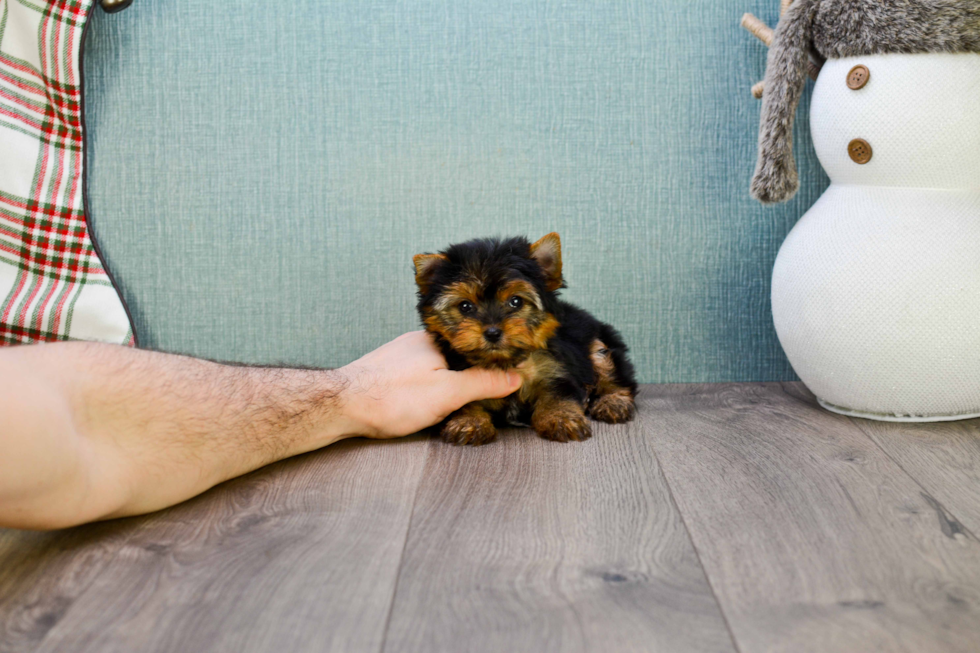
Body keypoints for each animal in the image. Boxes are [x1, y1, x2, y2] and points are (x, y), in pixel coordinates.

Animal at [412, 232, 636, 446]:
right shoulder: (459, 375)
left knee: (615, 377)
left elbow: (558, 393)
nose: (492, 332)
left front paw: (561, 418)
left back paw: (613, 402)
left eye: (516, 301)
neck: (505, 361)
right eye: (465, 306)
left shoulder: (554, 369)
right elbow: (464, 402)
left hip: (598, 345)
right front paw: (469, 423)